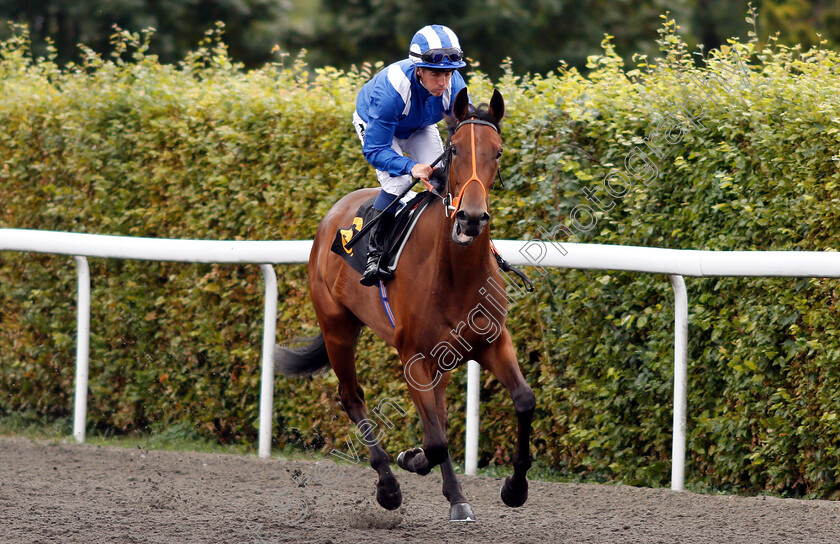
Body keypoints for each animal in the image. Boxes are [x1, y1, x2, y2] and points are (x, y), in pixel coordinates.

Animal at [278, 89, 540, 524]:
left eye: (498, 151)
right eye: (454, 149)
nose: (471, 218)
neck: (456, 274)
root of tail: (334, 212)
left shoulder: (492, 342)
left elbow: (523, 401)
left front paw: (515, 488)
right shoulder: (413, 355)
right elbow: (434, 442)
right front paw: (409, 459)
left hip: (442, 358)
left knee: (438, 413)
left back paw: (455, 496)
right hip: (337, 328)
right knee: (353, 397)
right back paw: (388, 486)